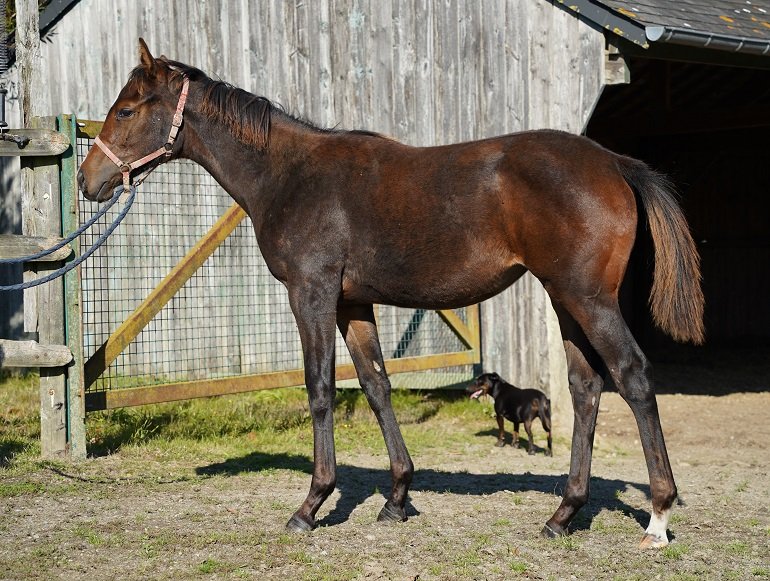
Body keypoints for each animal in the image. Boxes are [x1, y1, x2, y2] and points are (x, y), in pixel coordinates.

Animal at [78, 39, 704, 548]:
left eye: (127, 110)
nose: (87, 181)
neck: (291, 174)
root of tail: (614, 163)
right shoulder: (353, 303)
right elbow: (377, 386)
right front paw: (398, 497)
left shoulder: (312, 293)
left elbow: (321, 389)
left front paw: (311, 505)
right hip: (564, 299)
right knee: (586, 388)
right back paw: (562, 515)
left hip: (588, 298)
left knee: (633, 377)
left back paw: (657, 516)